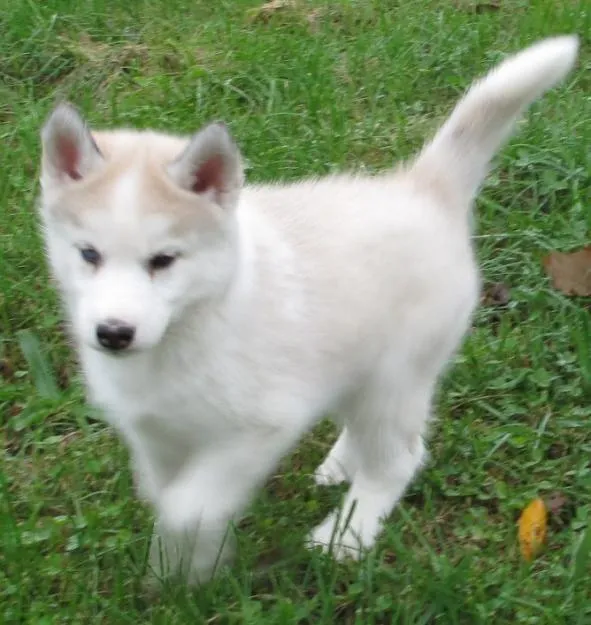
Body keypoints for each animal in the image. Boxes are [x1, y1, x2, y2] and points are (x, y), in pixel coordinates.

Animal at [40, 37, 580, 584]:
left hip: (395, 379)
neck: (192, 324)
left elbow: (187, 507)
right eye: (89, 254)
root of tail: (422, 187)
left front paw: (188, 569)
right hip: (353, 366)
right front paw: (182, 573)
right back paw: (340, 466)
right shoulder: (156, 434)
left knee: (399, 459)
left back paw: (346, 535)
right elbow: (170, 498)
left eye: (163, 261)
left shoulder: (261, 426)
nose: (113, 333)